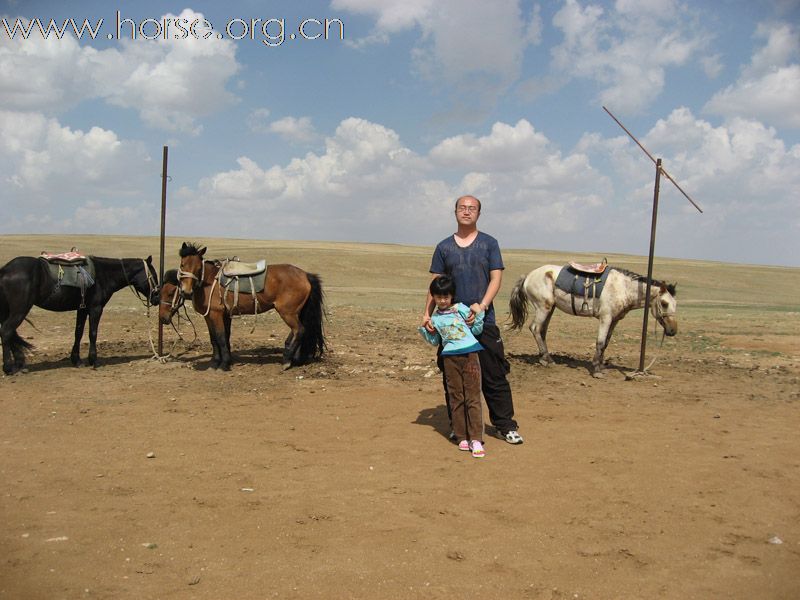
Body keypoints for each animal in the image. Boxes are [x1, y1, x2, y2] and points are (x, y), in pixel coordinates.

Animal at [0, 254, 159, 376]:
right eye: (153, 275)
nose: (157, 298)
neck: (104, 275)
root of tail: (5, 270)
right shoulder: (95, 308)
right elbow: (92, 333)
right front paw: (93, 360)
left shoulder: (82, 309)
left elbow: (78, 333)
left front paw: (76, 360)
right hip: (20, 310)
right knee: (7, 331)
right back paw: (9, 368)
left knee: (10, 333)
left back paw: (19, 364)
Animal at [174, 244, 324, 370]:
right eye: (182, 264)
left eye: (199, 268)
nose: (186, 292)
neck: (210, 281)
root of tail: (305, 275)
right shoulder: (214, 315)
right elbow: (216, 338)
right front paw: (216, 361)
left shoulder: (216, 314)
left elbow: (221, 337)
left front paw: (224, 364)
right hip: (295, 312)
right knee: (297, 331)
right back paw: (294, 358)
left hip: (287, 313)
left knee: (300, 330)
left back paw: (287, 360)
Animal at [510, 266, 680, 378]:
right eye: (664, 303)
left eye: (675, 303)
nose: (673, 331)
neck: (624, 288)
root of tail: (528, 276)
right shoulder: (606, 318)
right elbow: (600, 342)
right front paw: (597, 370)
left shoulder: (615, 320)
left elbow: (606, 343)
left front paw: (601, 365)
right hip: (542, 307)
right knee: (535, 328)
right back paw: (546, 360)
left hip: (550, 309)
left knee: (542, 331)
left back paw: (546, 358)